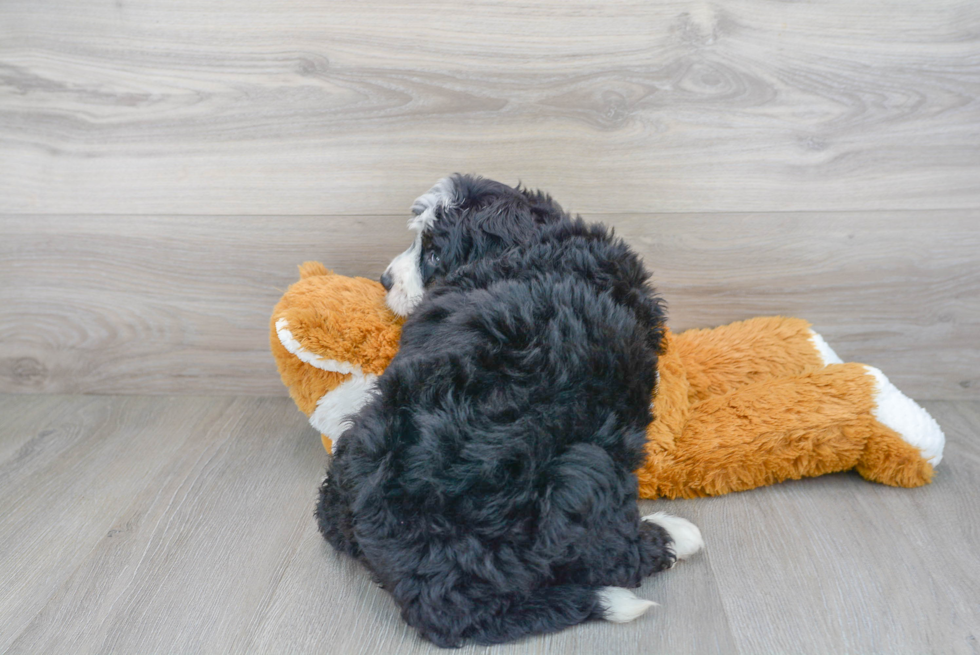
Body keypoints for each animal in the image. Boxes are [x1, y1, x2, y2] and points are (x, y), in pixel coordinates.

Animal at [318, 176, 700, 652]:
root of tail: (428, 591)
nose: (385, 279)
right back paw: (673, 535)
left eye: (433, 255)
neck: (533, 246)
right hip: (583, 472)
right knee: (611, 554)